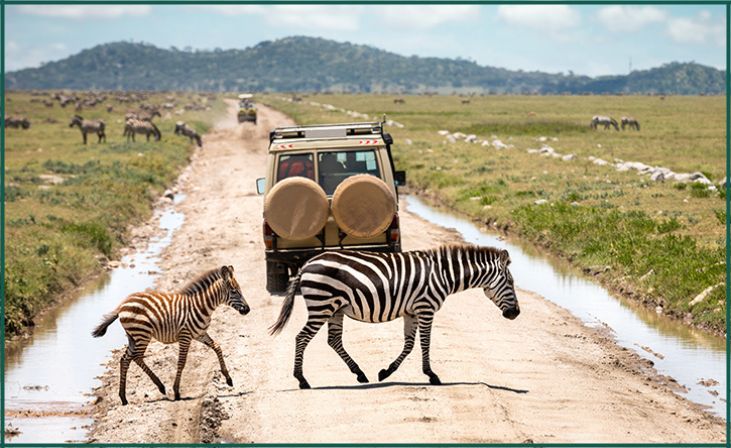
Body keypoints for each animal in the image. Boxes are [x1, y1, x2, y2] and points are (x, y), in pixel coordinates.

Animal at [91, 264, 252, 404]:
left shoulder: (200, 334)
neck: (202, 306)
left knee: (125, 359)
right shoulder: (185, 336)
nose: (247, 309)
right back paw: (160, 387)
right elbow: (182, 362)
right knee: (136, 357)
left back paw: (124, 397)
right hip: (142, 334)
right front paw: (176, 391)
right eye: (234, 291)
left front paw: (228, 378)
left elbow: (218, 347)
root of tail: (122, 305)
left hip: (133, 337)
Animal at [270, 245, 520, 388]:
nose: (516, 313)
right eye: (510, 282)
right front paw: (432, 375)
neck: (443, 275)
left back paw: (360, 374)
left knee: (333, 340)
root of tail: (307, 264)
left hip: (334, 309)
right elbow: (425, 343)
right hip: (322, 305)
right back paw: (302, 380)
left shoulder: (412, 312)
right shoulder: (425, 307)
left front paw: (386, 372)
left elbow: (409, 344)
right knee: (302, 338)